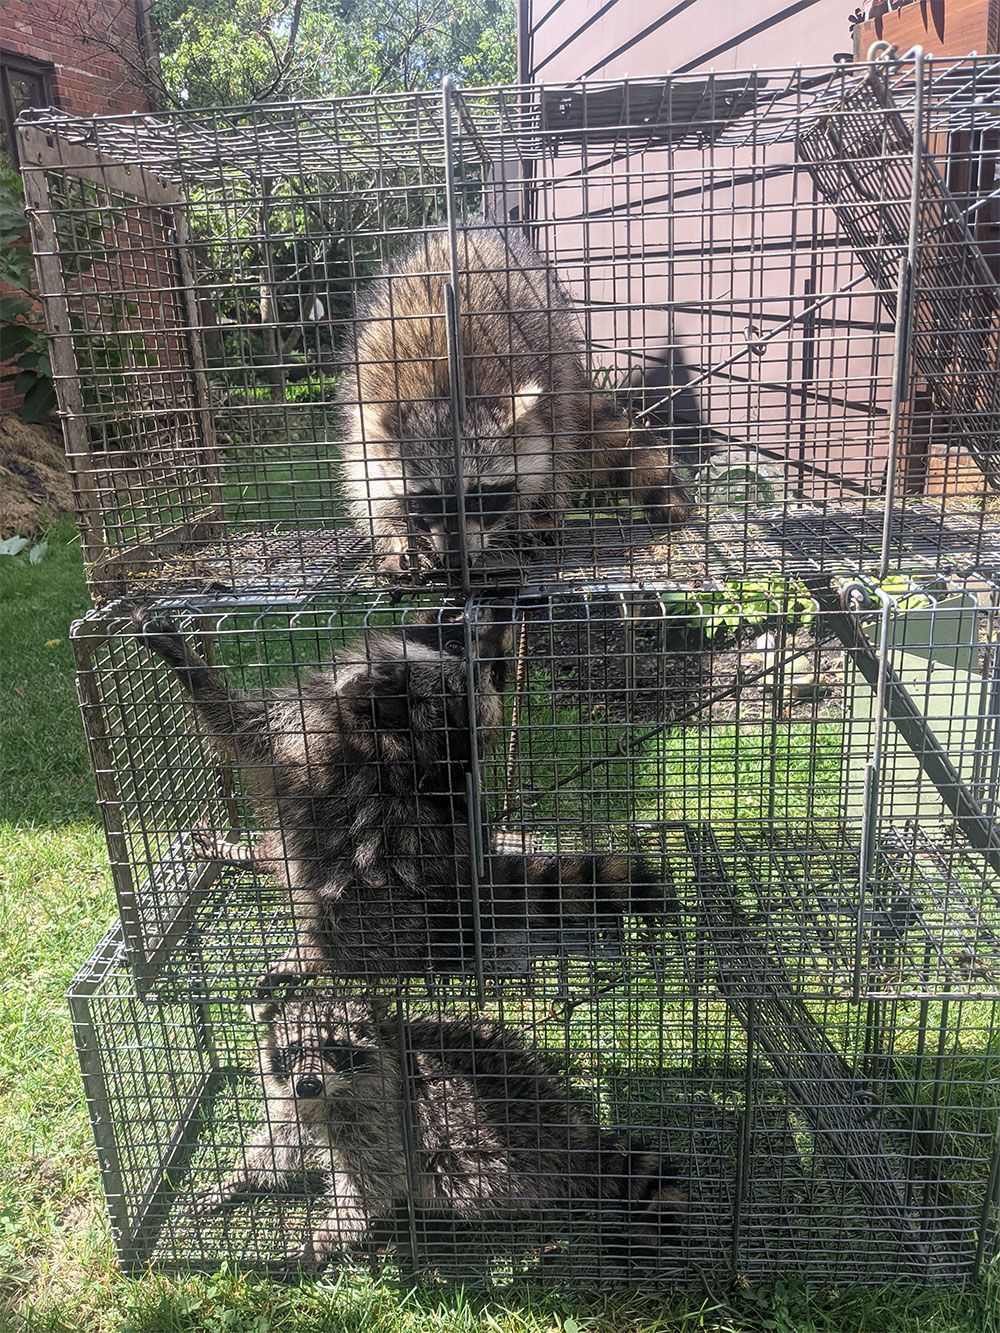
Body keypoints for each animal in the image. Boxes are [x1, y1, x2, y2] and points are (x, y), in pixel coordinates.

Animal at [133, 608, 671, 985]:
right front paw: (186, 660)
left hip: (416, 909)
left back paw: (314, 954)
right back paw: (250, 854)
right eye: (453, 637)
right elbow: (239, 724)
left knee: (347, 913)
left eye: (492, 671)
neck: (375, 732)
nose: (498, 614)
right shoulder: (302, 728)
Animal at [192, 996, 687, 1269]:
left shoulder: (387, 1121)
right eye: (294, 1050)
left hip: (491, 1147)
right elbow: (278, 1143)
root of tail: (575, 1131)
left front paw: (325, 1237)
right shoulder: (298, 1105)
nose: (308, 1082)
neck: (332, 1095)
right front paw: (237, 1177)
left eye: (335, 1048)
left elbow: (368, 1187)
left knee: (457, 1175)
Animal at [338, 227, 692, 576]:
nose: (458, 561)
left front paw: (525, 518)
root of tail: (465, 235)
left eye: (481, 497)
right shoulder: (365, 403)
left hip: (558, 353)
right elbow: (366, 483)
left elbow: (547, 461)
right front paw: (397, 534)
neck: (446, 386)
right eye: (430, 500)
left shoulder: (544, 393)